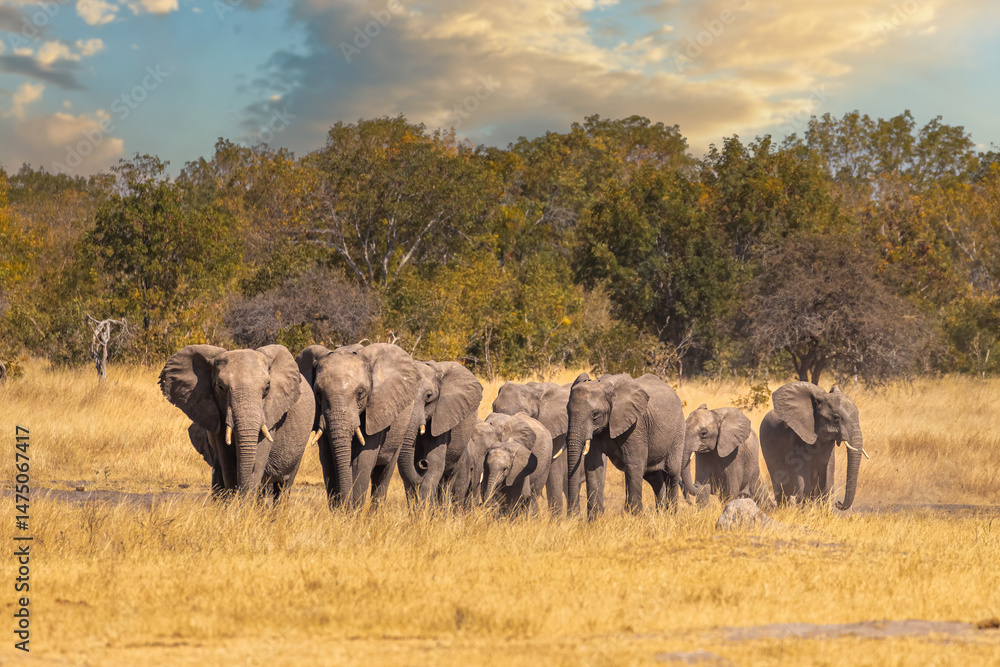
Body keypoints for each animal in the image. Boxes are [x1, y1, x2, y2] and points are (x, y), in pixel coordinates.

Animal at [159, 344, 315, 498]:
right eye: (221, 387)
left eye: (267, 388)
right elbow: (226, 462)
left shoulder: (271, 413)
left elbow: (259, 457)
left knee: (284, 485)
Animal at [296, 342, 420, 509]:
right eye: (317, 393)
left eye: (360, 393)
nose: (344, 503)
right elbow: (327, 460)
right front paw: (339, 511)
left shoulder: (376, 411)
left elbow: (361, 461)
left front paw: (351, 512)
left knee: (384, 473)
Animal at [396, 360, 483, 505]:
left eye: (428, 396)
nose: (422, 463)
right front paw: (416, 510)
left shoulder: (445, 414)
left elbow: (435, 462)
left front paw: (425, 510)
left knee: (448, 480)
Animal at [565, 373, 686, 516]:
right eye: (567, 412)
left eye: (595, 414)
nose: (572, 515)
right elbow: (593, 465)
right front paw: (595, 519)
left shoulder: (636, 426)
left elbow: (634, 464)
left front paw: (635, 517)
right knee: (654, 478)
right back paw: (660, 515)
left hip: (678, 432)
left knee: (672, 473)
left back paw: (671, 514)